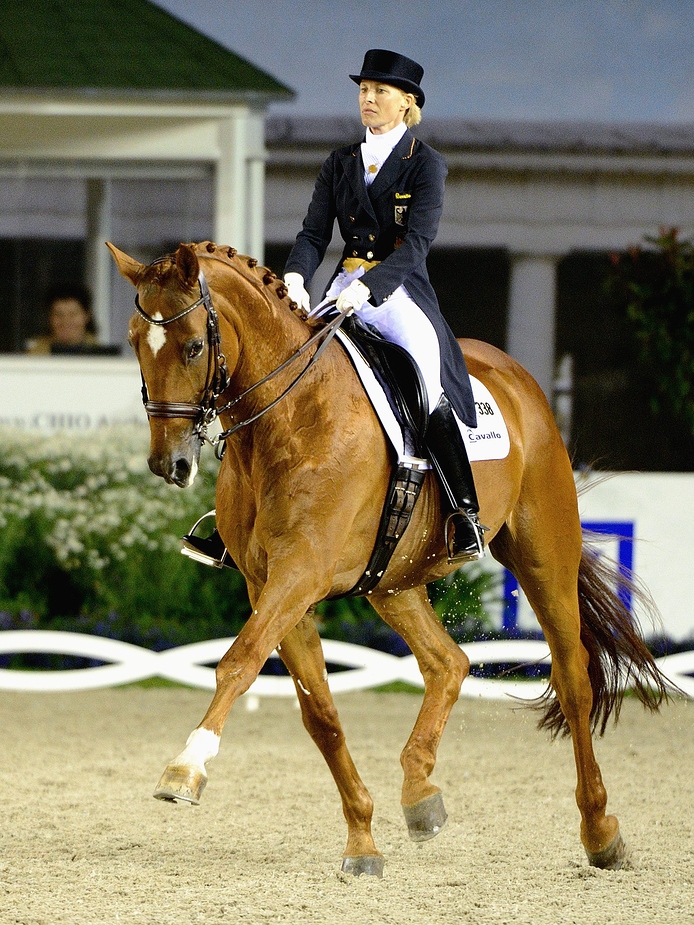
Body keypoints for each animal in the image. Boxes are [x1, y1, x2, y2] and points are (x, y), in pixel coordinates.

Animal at [109, 238, 668, 872]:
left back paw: (601, 832)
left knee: (573, 681)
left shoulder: (300, 572)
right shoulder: (272, 584)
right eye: (135, 342)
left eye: (194, 346)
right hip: (391, 580)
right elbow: (320, 715)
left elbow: (239, 661)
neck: (291, 417)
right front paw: (362, 841)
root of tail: (518, 377)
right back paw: (420, 794)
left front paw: (187, 768)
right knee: (448, 663)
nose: (169, 464)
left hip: (543, 554)